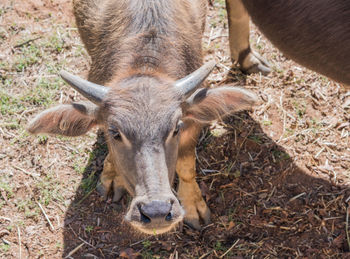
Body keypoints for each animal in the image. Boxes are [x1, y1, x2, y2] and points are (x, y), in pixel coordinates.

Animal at [28, 0, 258, 235]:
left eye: (176, 128)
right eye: (115, 132)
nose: (156, 211)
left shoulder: (192, 123)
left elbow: (186, 165)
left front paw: (193, 204)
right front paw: (113, 176)